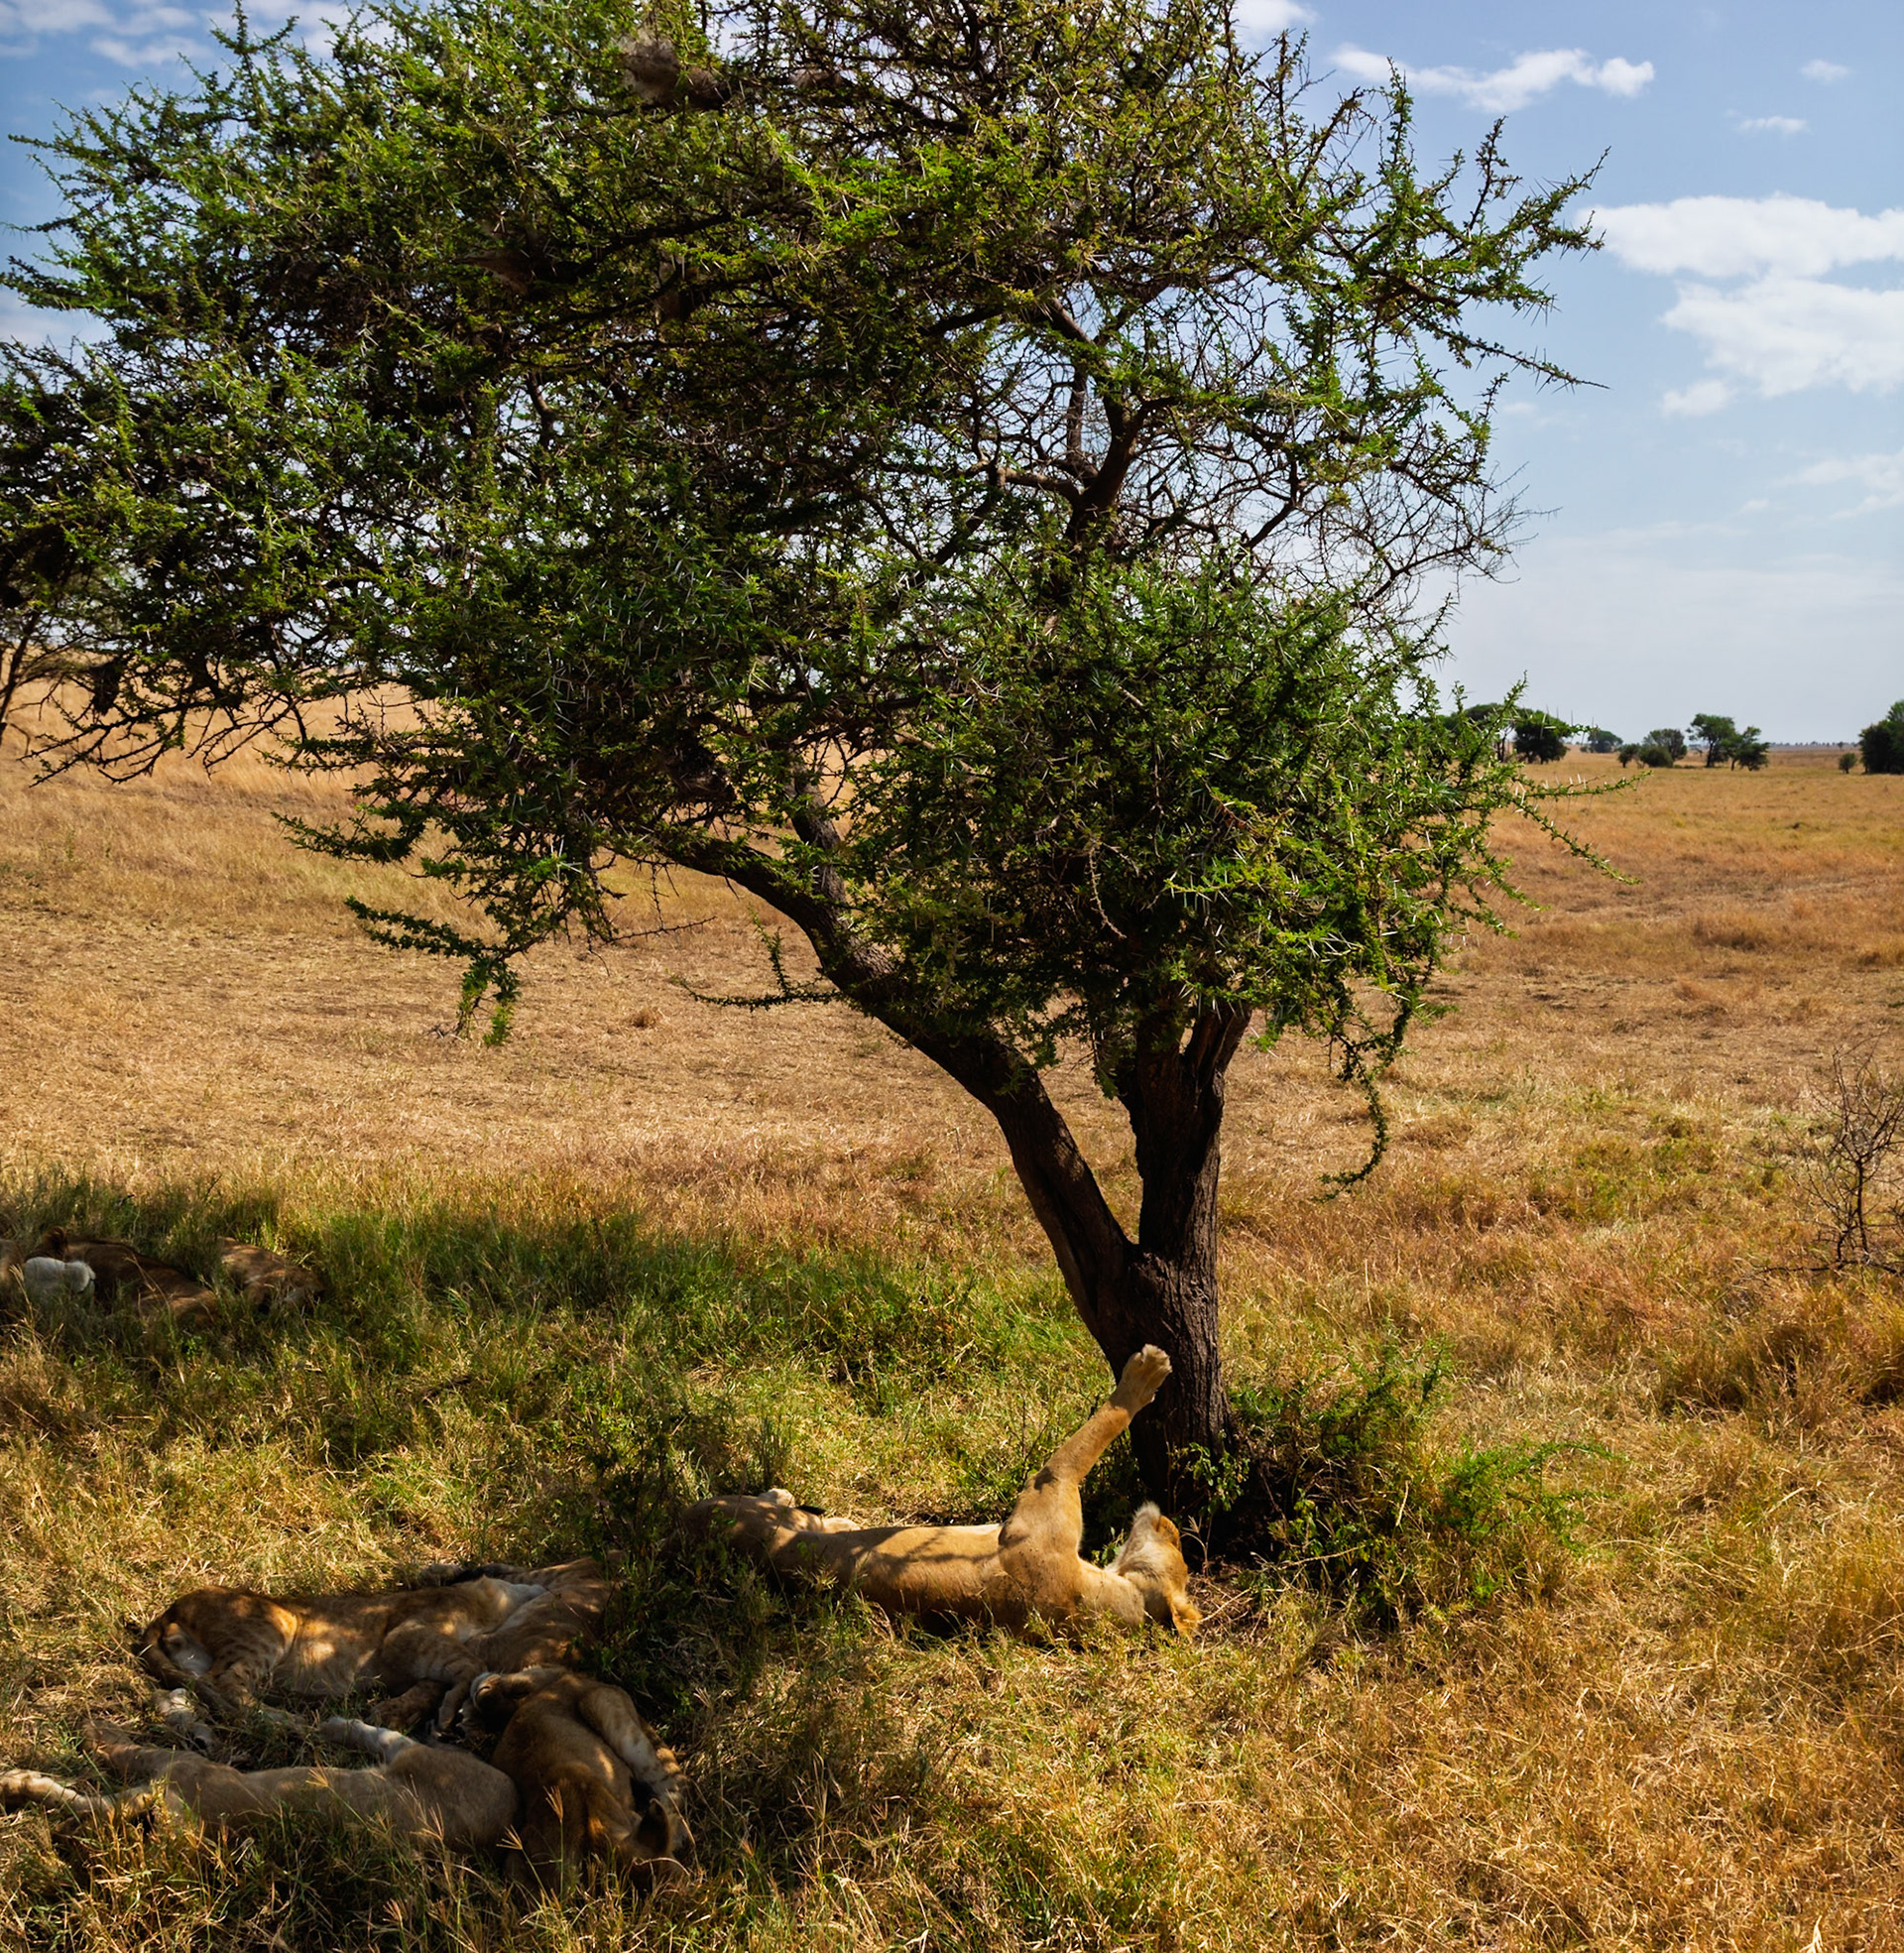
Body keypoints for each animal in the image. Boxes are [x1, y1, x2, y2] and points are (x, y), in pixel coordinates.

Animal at [0, 1706, 516, 1850]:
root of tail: (511, 1809)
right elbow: (85, 1802)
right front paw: (19, 1784)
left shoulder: (180, 1769)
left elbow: (130, 1752)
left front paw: (94, 1733)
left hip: (421, 1759)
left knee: (383, 1735)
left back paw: (334, 1724)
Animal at [687, 1345, 1200, 1636]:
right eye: (1179, 1544)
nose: (1171, 1520)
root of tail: (680, 1528)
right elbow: (1093, 1435)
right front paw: (1149, 1371)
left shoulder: (1050, 1483)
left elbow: (1094, 1433)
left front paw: (1145, 1373)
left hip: (756, 1514)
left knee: (790, 1507)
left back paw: (788, 1497)